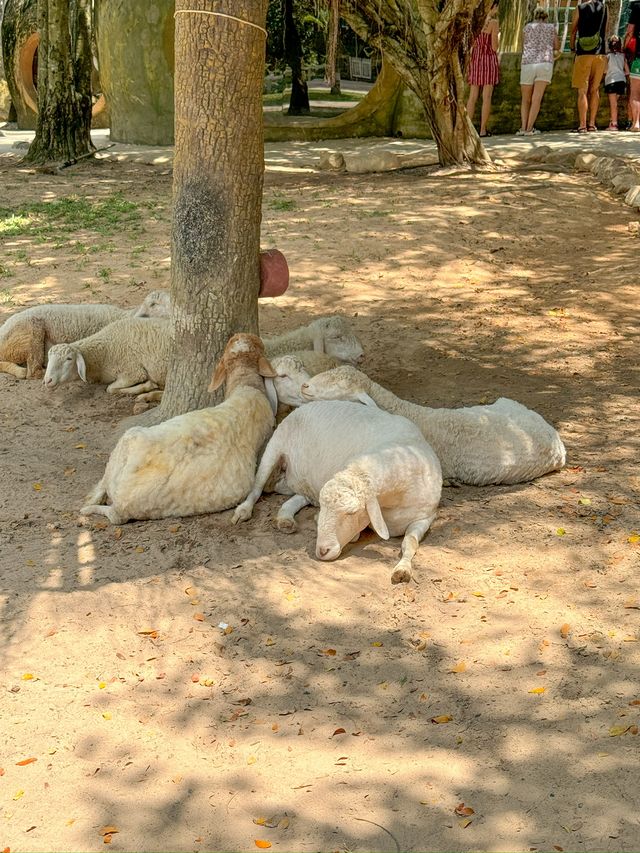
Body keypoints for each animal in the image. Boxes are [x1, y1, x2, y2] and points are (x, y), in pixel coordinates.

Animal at [43, 314, 171, 394]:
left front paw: (148, 386)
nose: (47, 380)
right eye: (49, 359)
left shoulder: (133, 372)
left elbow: (110, 389)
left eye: (69, 359)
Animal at [232, 402, 442, 584]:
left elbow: (410, 542)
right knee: (257, 486)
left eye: (352, 512)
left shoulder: (425, 518)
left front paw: (402, 570)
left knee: (298, 497)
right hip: (275, 446)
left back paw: (285, 519)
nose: (322, 551)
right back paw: (243, 511)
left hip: (304, 481)